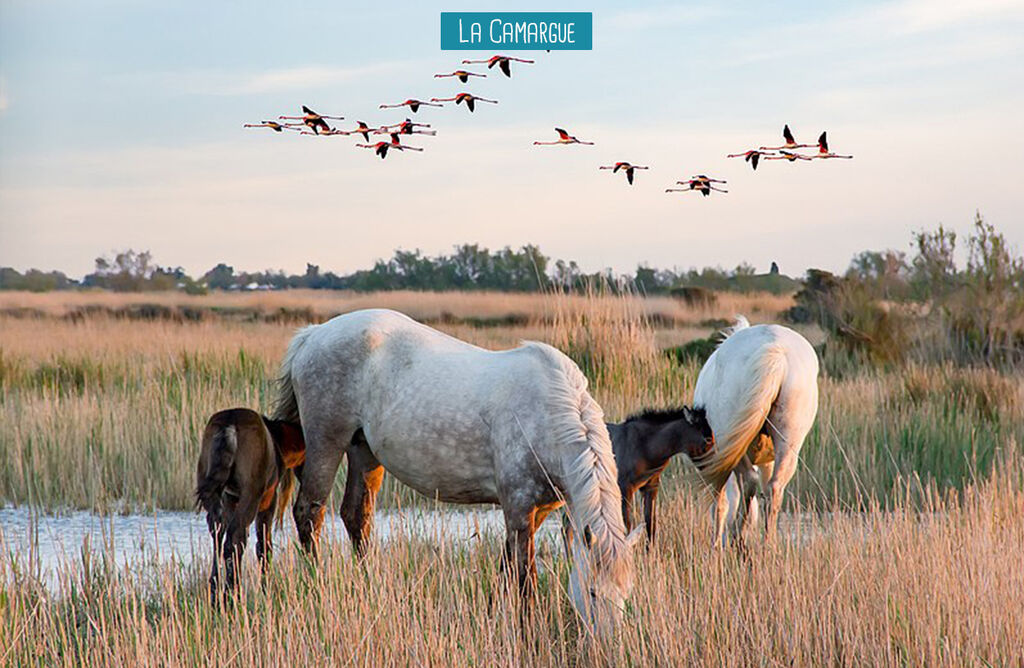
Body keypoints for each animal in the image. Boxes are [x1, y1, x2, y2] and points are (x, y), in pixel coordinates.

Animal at [192, 407, 301, 594]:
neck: (279, 442)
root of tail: (229, 426)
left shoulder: (231, 498)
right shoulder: (268, 499)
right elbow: (264, 545)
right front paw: (266, 587)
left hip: (211, 489)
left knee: (218, 532)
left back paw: (216, 587)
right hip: (252, 493)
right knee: (235, 539)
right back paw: (232, 590)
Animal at [272, 311, 638, 635]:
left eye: (625, 596)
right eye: (592, 592)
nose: (607, 646)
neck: (549, 414)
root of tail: (313, 335)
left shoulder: (537, 510)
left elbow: (505, 566)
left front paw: (492, 617)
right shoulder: (519, 508)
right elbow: (524, 578)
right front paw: (527, 632)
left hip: (364, 451)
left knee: (356, 516)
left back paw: (368, 585)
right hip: (326, 442)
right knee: (309, 513)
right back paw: (316, 587)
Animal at [692, 317, 819, 549]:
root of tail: (777, 352)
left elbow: (721, 504)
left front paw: (716, 544)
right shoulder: (767, 460)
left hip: (731, 443)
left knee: (749, 482)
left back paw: (739, 537)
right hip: (788, 444)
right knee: (774, 488)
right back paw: (768, 545)